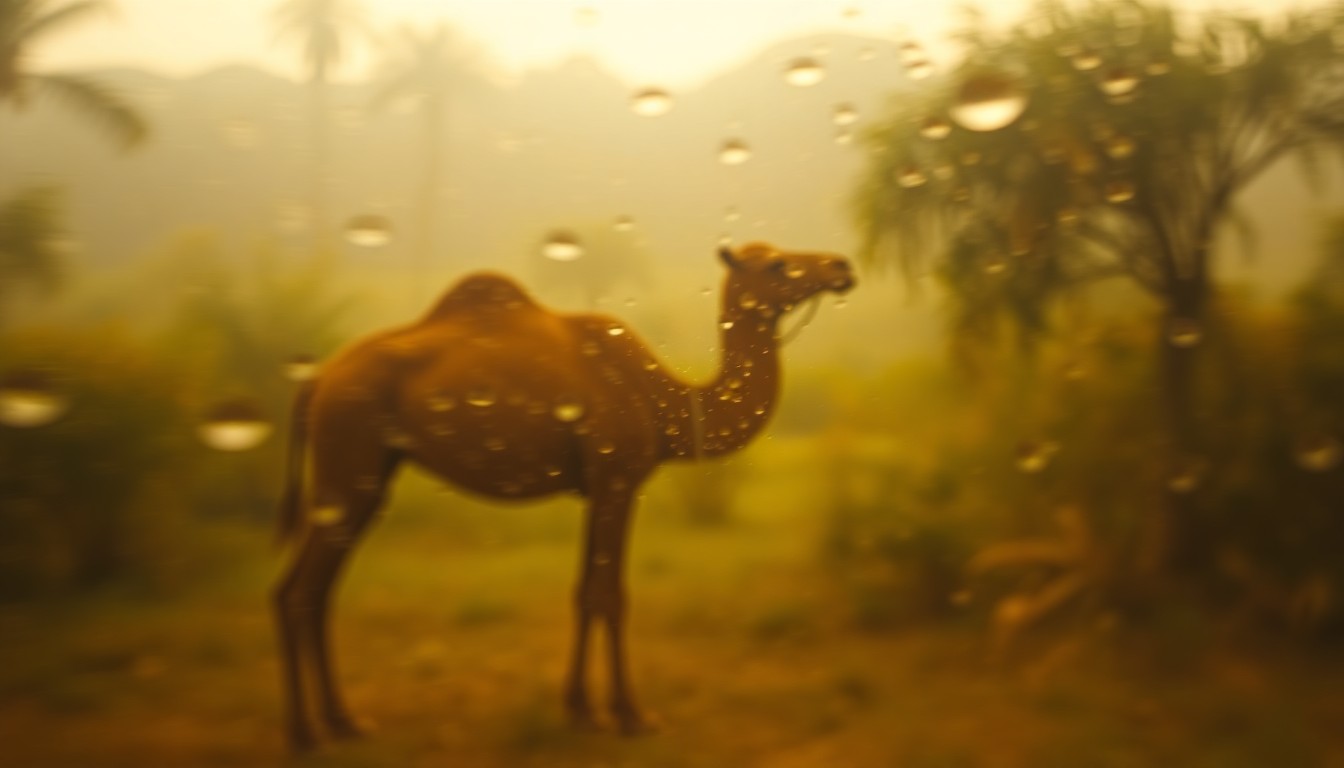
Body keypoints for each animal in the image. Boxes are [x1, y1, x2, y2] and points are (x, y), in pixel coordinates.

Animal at [272, 241, 855, 751]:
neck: (664, 400)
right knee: (303, 589)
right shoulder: (619, 480)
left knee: (311, 589)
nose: (841, 266)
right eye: (777, 264)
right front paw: (632, 716)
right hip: (347, 463)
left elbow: (584, 592)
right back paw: (305, 734)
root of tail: (317, 379)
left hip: (365, 477)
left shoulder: (596, 487)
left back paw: (344, 722)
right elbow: (611, 595)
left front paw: (580, 710)